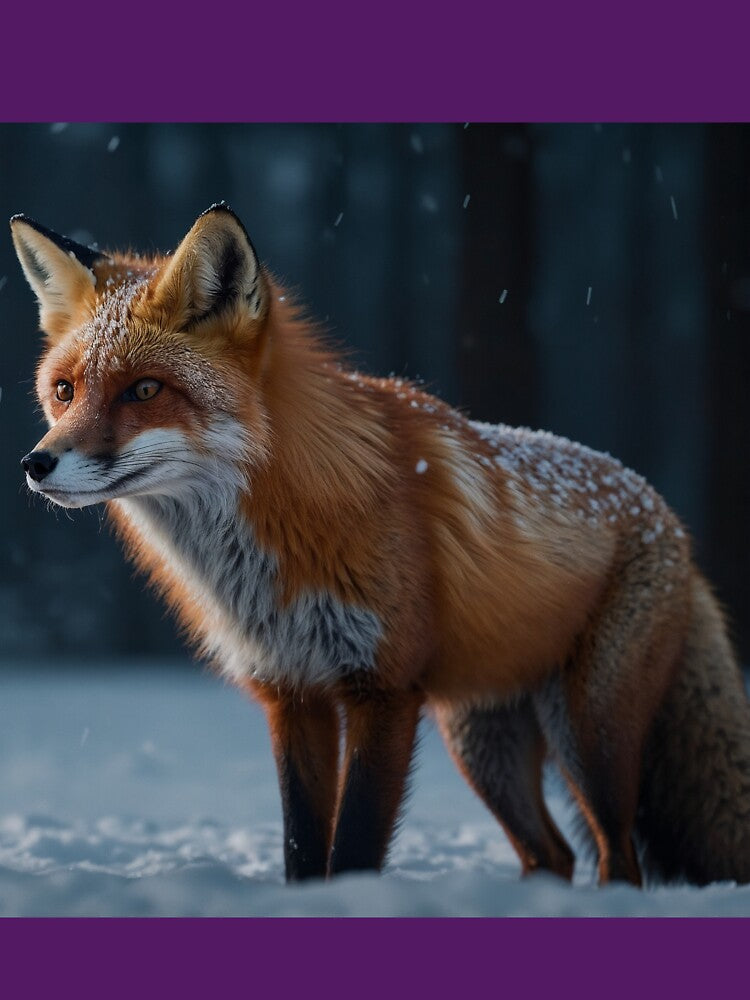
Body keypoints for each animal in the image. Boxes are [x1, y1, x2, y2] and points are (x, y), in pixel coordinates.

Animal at [11, 203, 750, 887]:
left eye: (144, 390)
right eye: (64, 390)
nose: (36, 464)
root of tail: (665, 513)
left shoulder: (384, 688)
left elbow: (356, 846)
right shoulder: (293, 693)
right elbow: (303, 847)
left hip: (588, 729)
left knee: (618, 856)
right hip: (482, 740)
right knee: (554, 853)